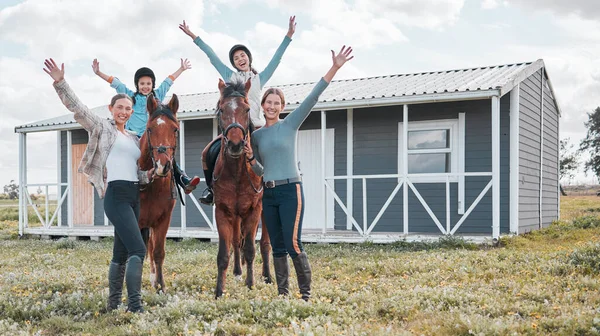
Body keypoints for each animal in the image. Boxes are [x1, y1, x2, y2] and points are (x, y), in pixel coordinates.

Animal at [212, 79, 270, 300]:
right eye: (222, 110)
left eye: (246, 109)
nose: (236, 145)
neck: (237, 172)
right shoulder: (223, 212)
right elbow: (224, 253)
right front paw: (219, 291)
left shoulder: (254, 211)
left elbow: (251, 250)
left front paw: (251, 284)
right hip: (236, 216)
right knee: (237, 241)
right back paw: (237, 271)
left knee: (264, 243)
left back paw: (267, 276)